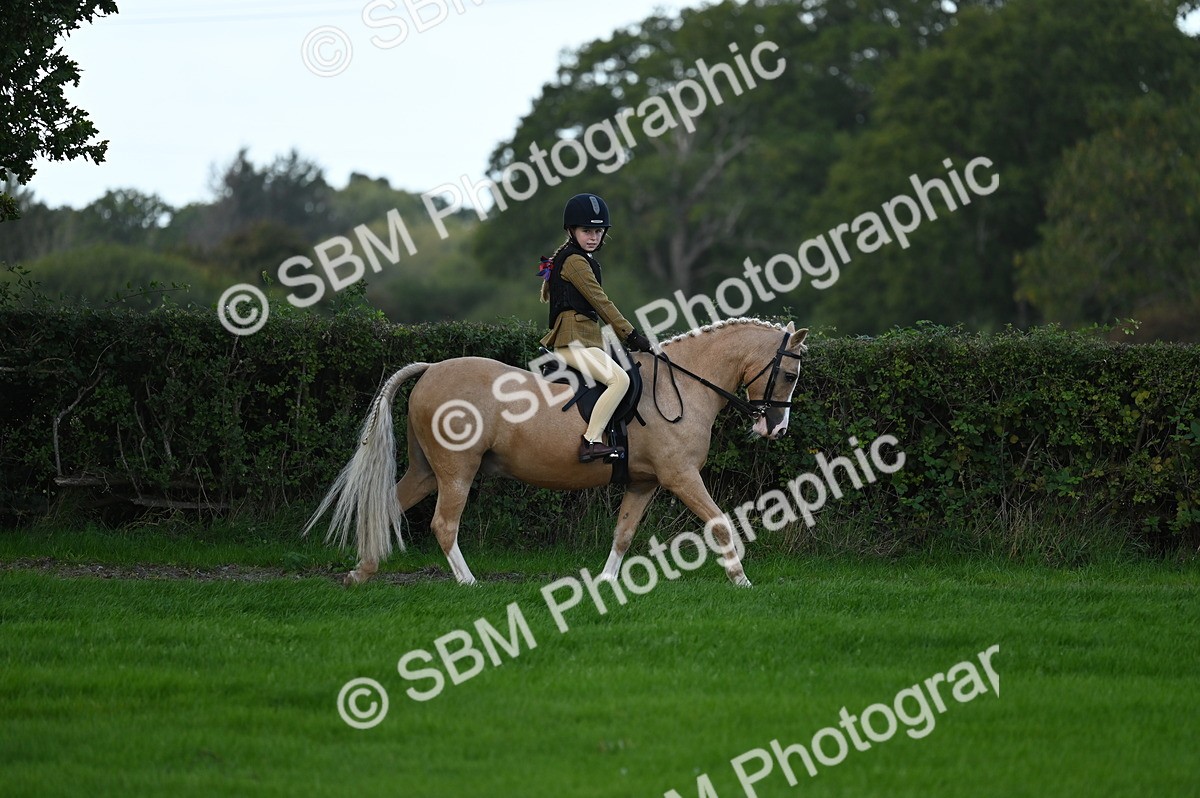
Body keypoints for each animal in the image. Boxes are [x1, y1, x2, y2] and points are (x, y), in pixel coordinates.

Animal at [304, 317, 808, 587]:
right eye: (787, 375)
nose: (776, 428)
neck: (682, 384)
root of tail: (431, 368)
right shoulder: (680, 475)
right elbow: (720, 522)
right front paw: (742, 580)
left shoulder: (644, 483)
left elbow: (623, 534)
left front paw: (605, 583)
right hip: (456, 471)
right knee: (443, 525)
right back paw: (467, 583)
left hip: (427, 469)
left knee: (388, 504)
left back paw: (361, 573)